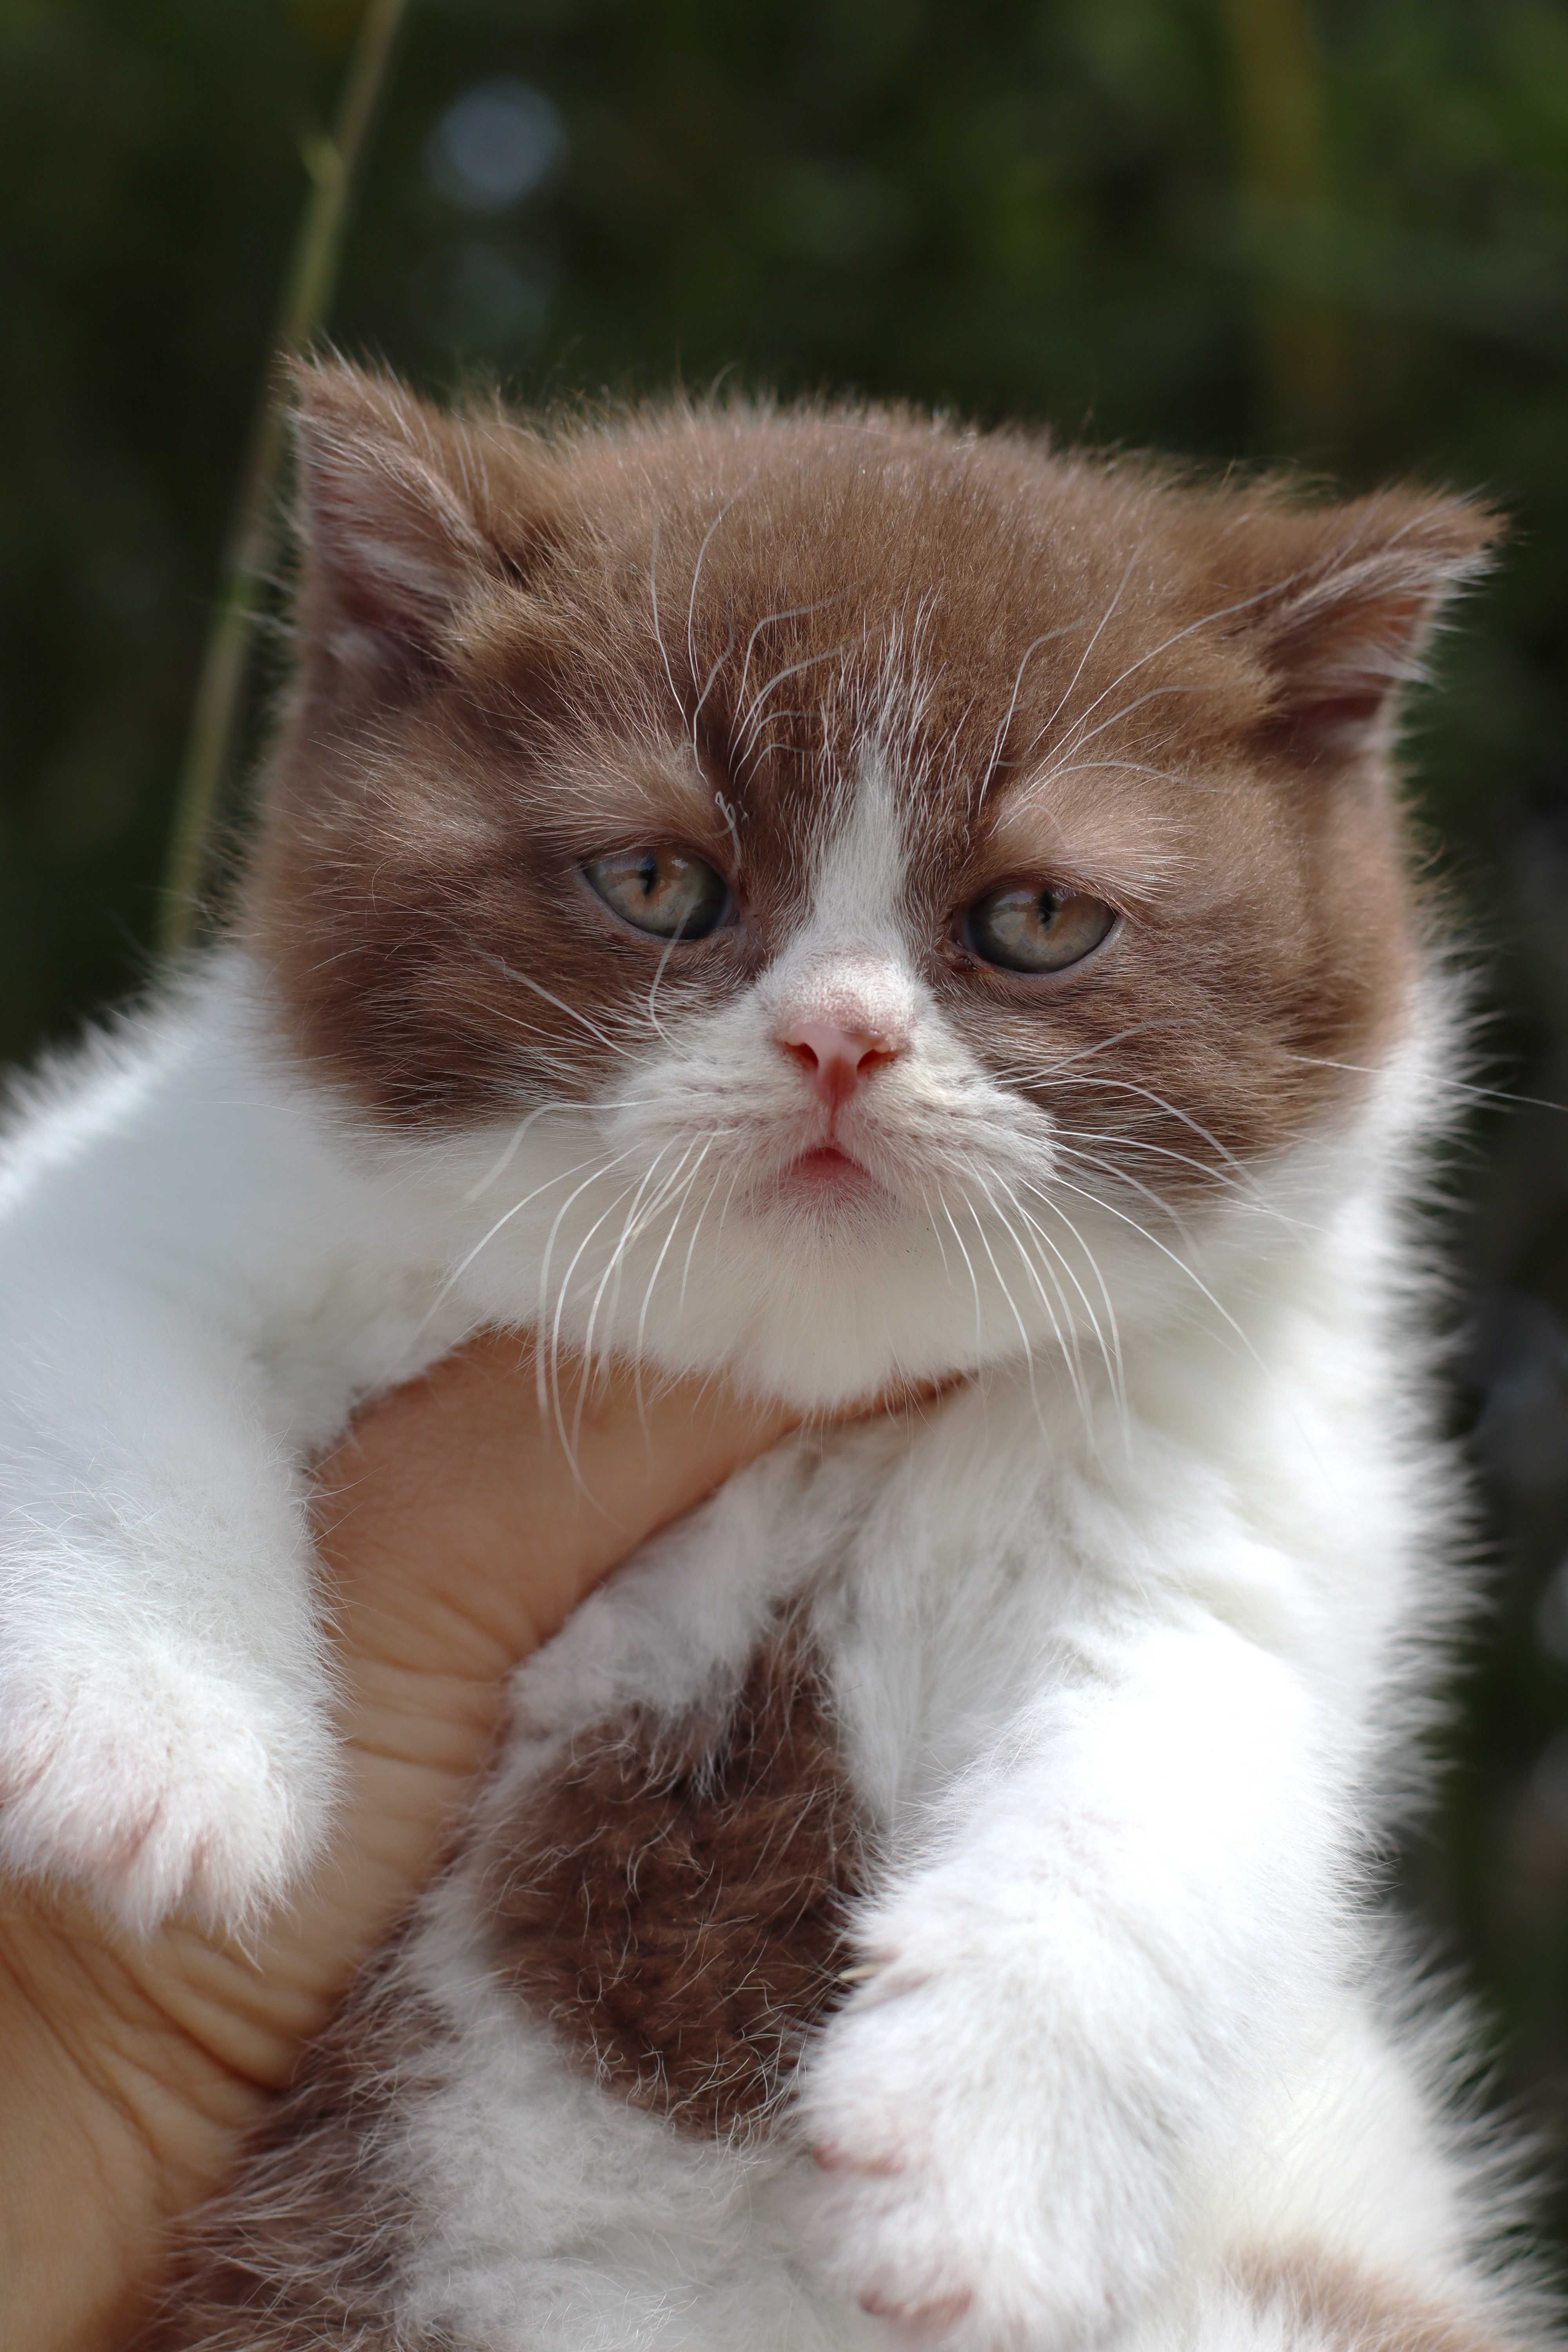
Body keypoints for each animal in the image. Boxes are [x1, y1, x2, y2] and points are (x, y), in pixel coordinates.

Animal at [0, 367, 1542, 2352]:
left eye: (1036, 918)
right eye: (659, 881)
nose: (837, 1038)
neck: (787, 1380)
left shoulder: (1229, 1455)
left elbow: (1169, 1745)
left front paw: (982, 2174)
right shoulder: (158, 1168)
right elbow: (102, 1323)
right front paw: (158, 1751)